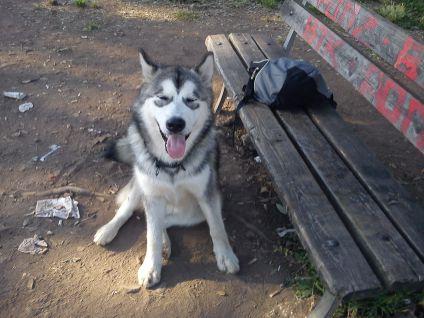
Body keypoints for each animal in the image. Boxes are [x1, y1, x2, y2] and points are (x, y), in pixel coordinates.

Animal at [93, 49, 238, 288]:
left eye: (191, 100)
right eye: (162, 98)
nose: (175, 124)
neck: (172, 166)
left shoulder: (208, 195)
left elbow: (217, 227)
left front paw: (226, 255)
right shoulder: (151, 195)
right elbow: (150, 236)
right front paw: (151, 267)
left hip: (195, 212)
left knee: (164, 221)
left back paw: (165, 241)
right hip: (141, 187)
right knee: (130, 210)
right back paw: (109, 230)